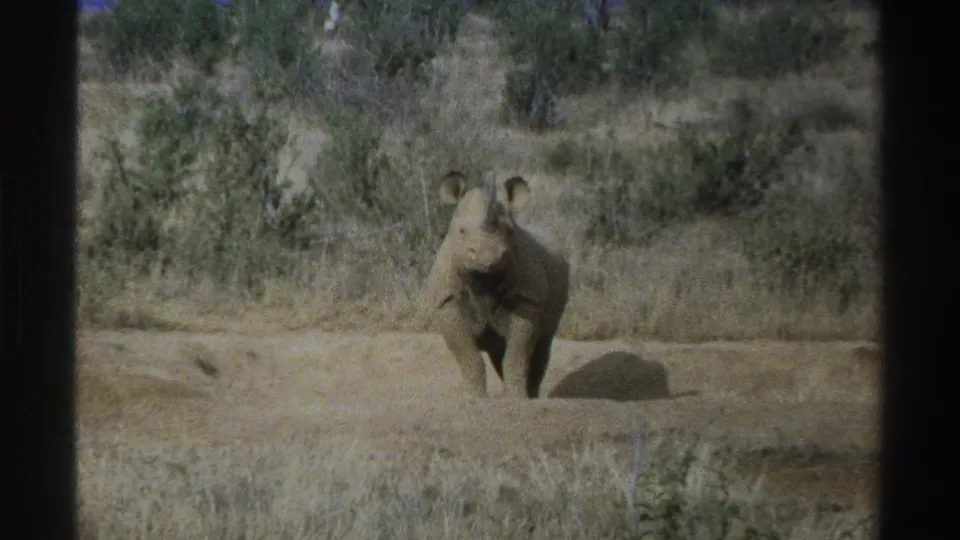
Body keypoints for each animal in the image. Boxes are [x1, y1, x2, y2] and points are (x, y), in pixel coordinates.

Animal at [420, 171, 570, 399]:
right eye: (461, 231)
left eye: (510, 232)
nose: (488, 256)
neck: (483, 278)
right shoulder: (447, 300)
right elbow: (468, 356)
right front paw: (475, 399)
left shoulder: (527, 297)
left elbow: (517, 355)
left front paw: (517, 399)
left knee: (542, 345)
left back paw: (532, 396)